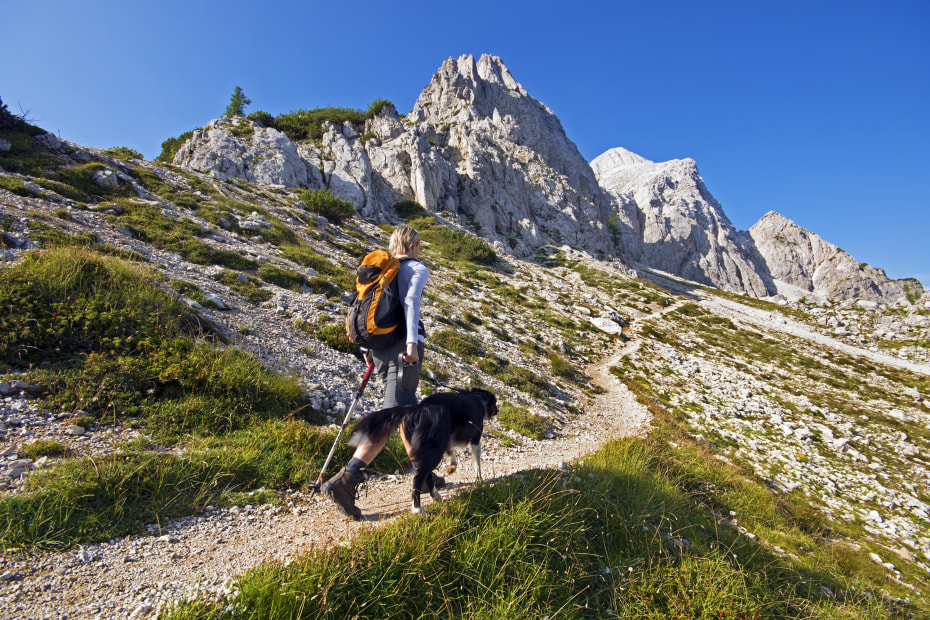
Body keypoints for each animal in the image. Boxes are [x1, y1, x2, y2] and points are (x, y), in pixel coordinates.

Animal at [350, 390, 496, 516]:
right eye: (495, 403)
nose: (498, 410)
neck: (479, 398)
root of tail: (417, 409)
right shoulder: (475, 439)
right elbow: (477, 463)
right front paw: (479, 479)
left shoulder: (448, 438)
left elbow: (452, 453)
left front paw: (451, 467)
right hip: (434, 449)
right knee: (419, 477)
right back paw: (417, 508)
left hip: (432, 445)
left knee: (425, 473)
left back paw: (435, 495)